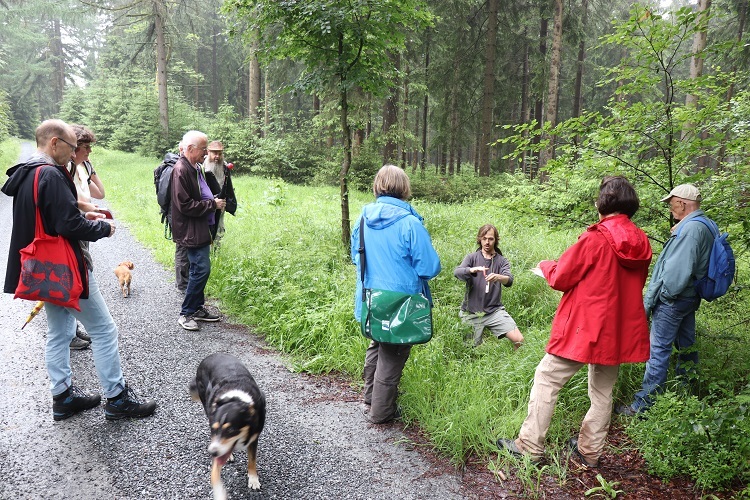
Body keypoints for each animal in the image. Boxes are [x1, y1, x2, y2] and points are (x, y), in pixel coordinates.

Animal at [191, 354, 268, 498]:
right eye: (213, 429)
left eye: (232, 430)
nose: (212, 452)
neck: (236, 400)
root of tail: (211, 355)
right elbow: (214, 474)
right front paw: (219, 493)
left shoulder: (254, 438)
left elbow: (252, 461)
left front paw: (253, 479)